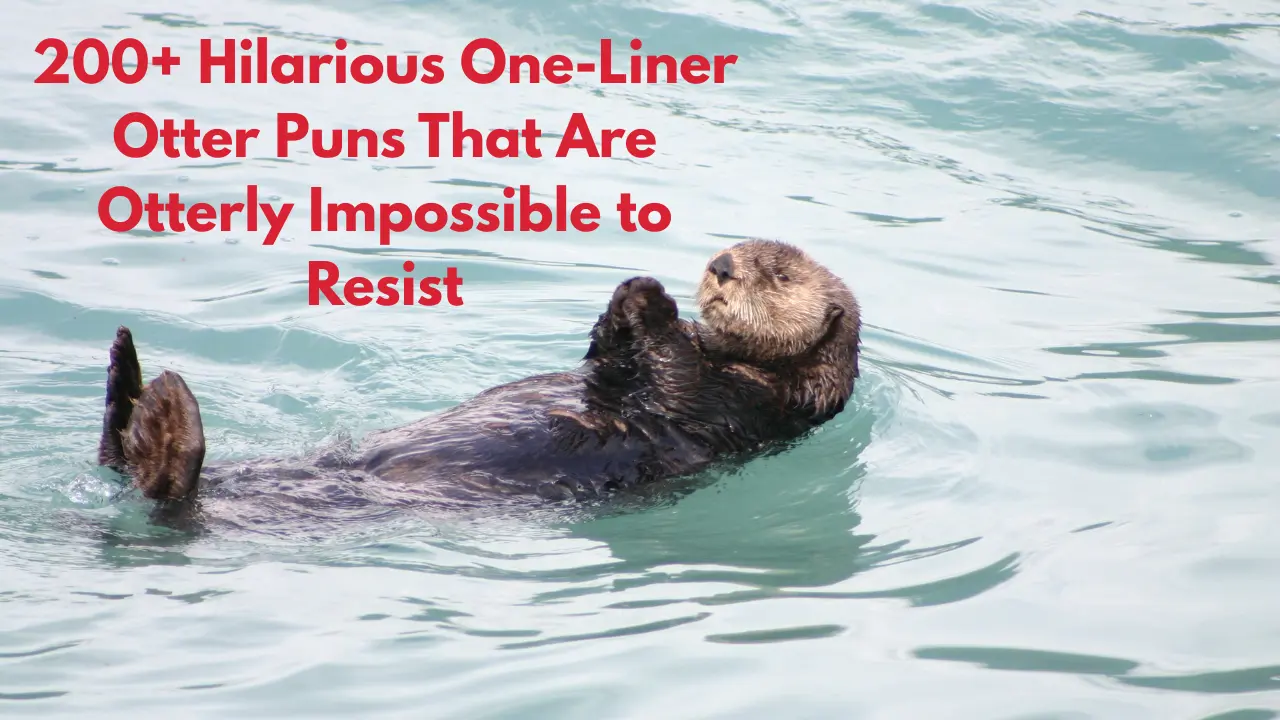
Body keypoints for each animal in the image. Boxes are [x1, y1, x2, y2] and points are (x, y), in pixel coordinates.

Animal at [95, 239, 861, 516]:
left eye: (779, 273)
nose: (720, 266)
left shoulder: (753, 405)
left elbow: (677, 379)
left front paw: (650, 301)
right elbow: (607, 365)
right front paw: (627, 301)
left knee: (172, 496)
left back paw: (160, 422)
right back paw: (128, 385)